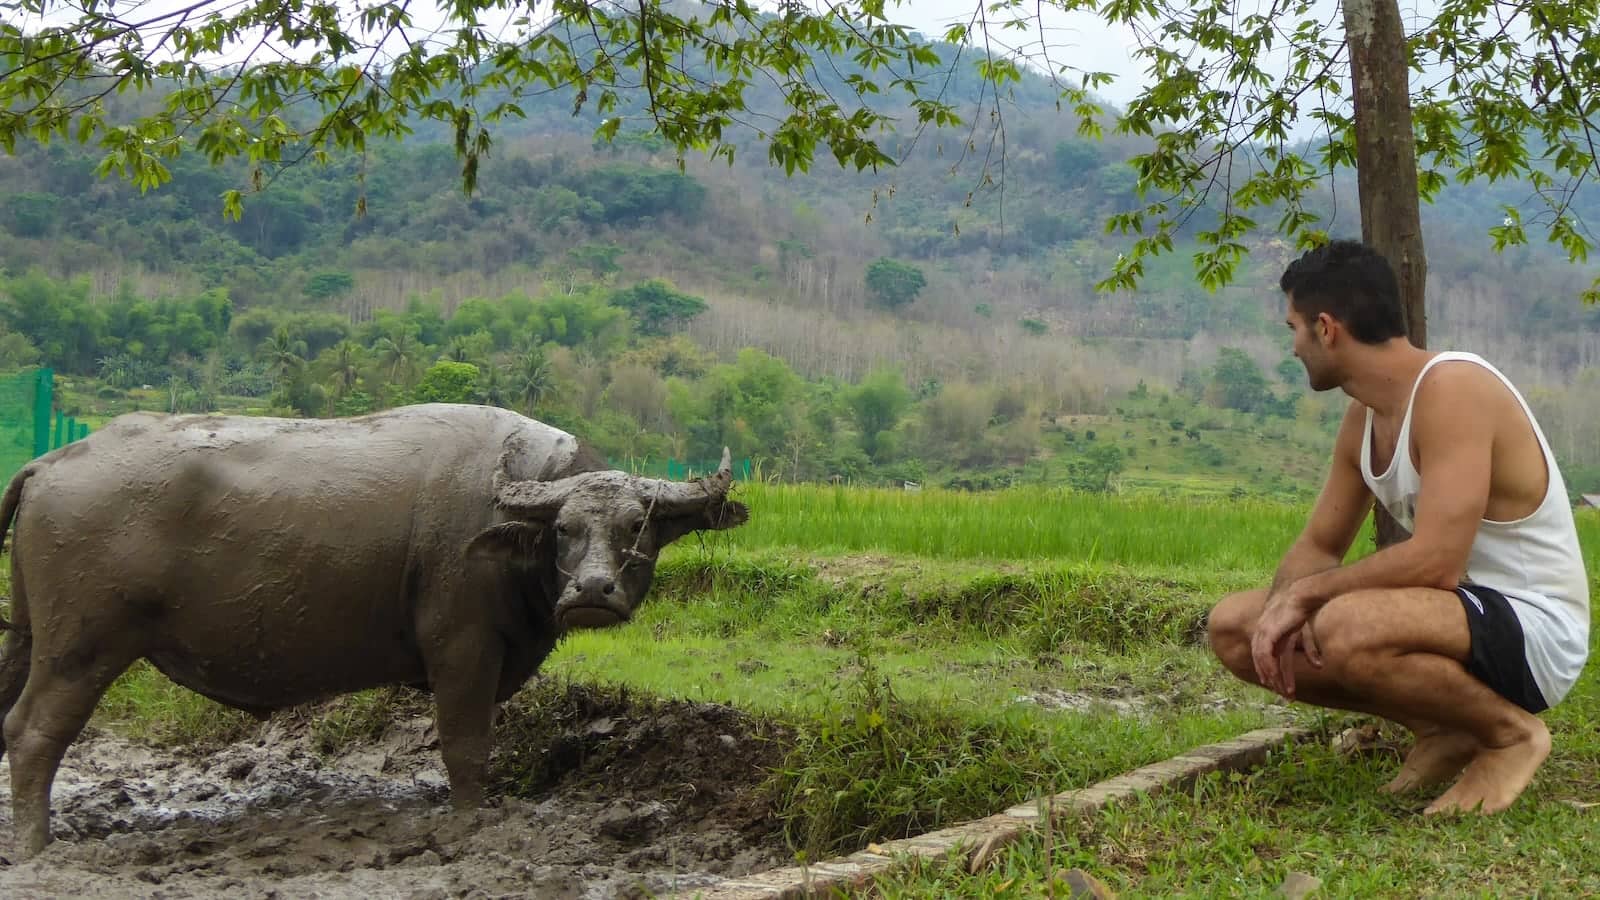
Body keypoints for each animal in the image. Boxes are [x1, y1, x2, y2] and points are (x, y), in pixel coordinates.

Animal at [0, 400, 742, 851]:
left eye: (637, 528)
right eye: (563, 529)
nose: (591, 591)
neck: (505, 530)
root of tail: (49, 462)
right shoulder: (463, 650)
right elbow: (466, 745)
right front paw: (471, 820)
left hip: (32, 640)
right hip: (80, 649)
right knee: (33, 732)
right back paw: (37, 843)